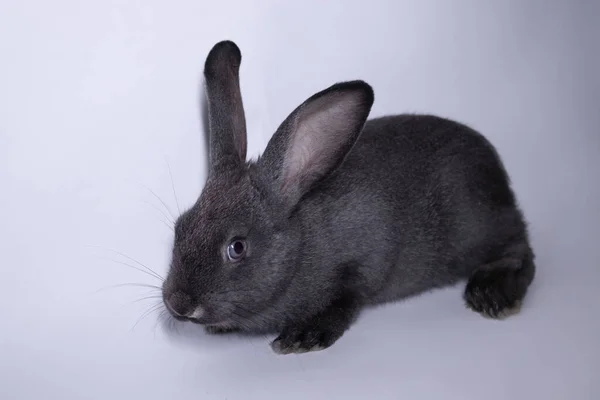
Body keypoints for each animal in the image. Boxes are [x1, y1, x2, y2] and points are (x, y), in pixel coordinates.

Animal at [161, 39, 536, 354]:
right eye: (180, 227)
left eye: (237, 247)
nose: (178, 303)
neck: (300, 244)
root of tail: (497, 169)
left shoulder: (363, 263)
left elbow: (346, 301)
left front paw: (303, 336)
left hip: (479, 224)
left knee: (520, 248)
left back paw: (492, 293)